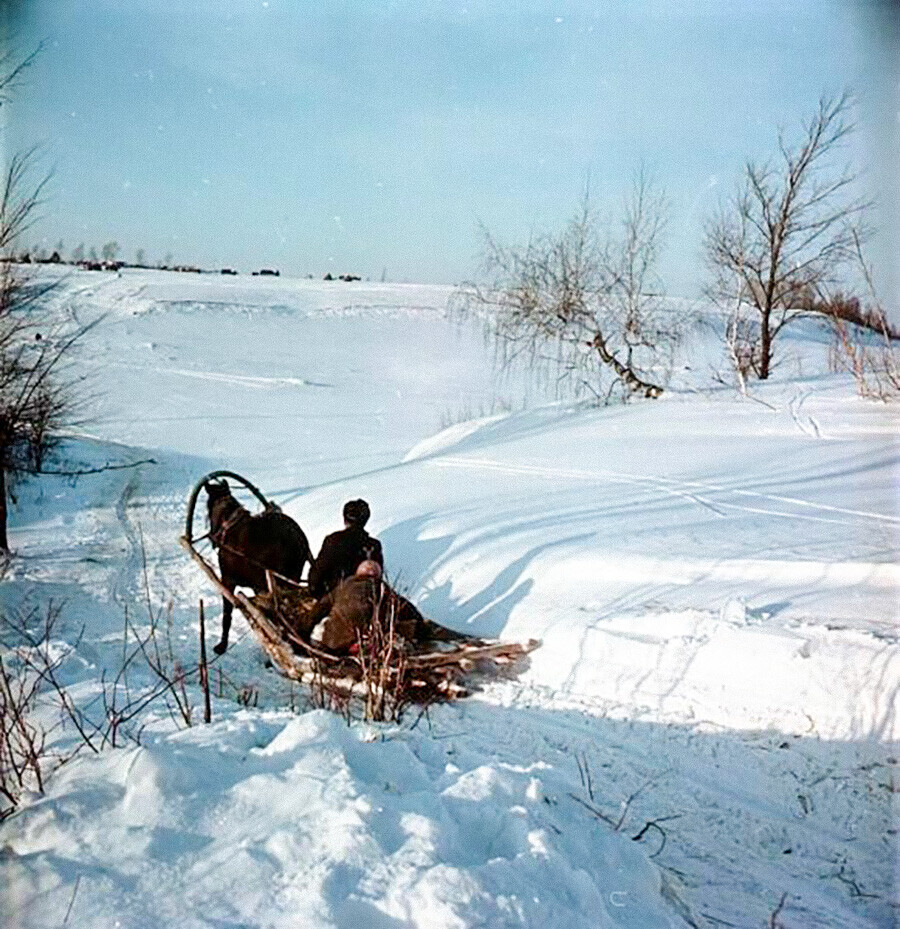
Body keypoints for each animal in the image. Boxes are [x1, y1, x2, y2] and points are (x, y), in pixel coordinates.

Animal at [204, 478, 312, 652]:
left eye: (208, 508)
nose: (213, 537)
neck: (228, 524)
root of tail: (300, 541)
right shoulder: (259, 587)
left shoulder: (228, 580)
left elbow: (227, 615)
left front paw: (222, 645)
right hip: (290, 580)